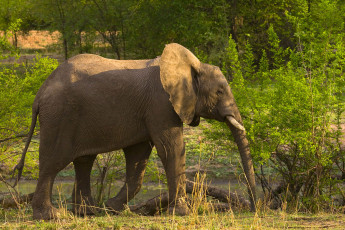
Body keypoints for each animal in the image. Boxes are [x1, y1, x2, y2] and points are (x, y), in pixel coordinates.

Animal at [14, 42, 255, 219]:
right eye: (220, 91)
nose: (254, 207)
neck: (191, 65)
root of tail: (40, 93)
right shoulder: (160, 104)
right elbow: (170, 149)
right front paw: (181, 213)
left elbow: (138, 157)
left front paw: (114, 209)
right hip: (60, 115)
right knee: (53, 163)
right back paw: (51, 216)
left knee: (83, 160)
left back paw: (88, 212)